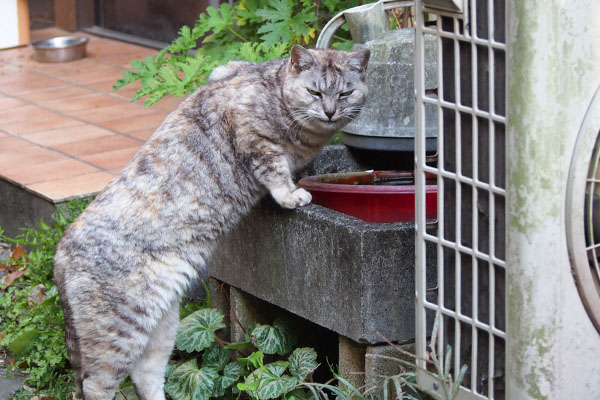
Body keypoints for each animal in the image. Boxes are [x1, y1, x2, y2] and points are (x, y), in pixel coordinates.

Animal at [52, 45, 370, 398]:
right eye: (314, 91)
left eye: (345, 93)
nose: (329, 112)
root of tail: (60, 255)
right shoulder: (252, 135)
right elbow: (274, 170)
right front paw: (291, 194)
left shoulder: (224, 71)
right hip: (119, 332)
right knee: (95, 385)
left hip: (162, 325)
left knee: (146, 375)